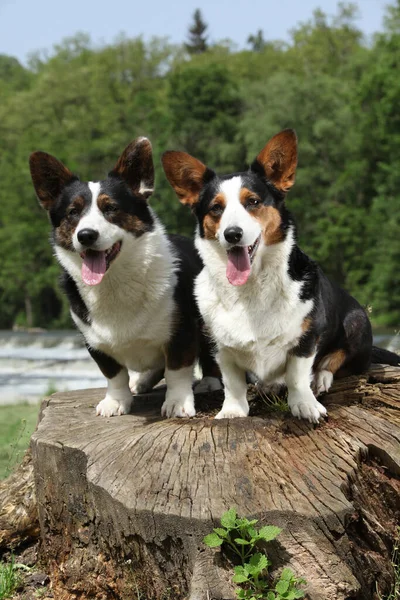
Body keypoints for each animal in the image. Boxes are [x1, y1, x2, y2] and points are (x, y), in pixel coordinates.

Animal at [29, 137, 220, 418]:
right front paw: (116, 402)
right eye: (73, 212)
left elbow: (177, 371)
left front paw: (177, 403)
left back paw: (210, 381)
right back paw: (141, 382)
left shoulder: (181, 332)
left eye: (110, 208)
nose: (86, 235)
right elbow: (114, 375)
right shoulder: (95, 343)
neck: (114, 281)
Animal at [162, 131, 400, 422]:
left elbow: (297, 375)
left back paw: (320, 378)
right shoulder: (221, 346)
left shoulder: (306, 337)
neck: (252, 288)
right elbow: (232, 382)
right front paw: (232, 411)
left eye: (253, 202)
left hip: (357, 322)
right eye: (216, 208)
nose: (233, 234)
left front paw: (305, 406)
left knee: (336, 361)